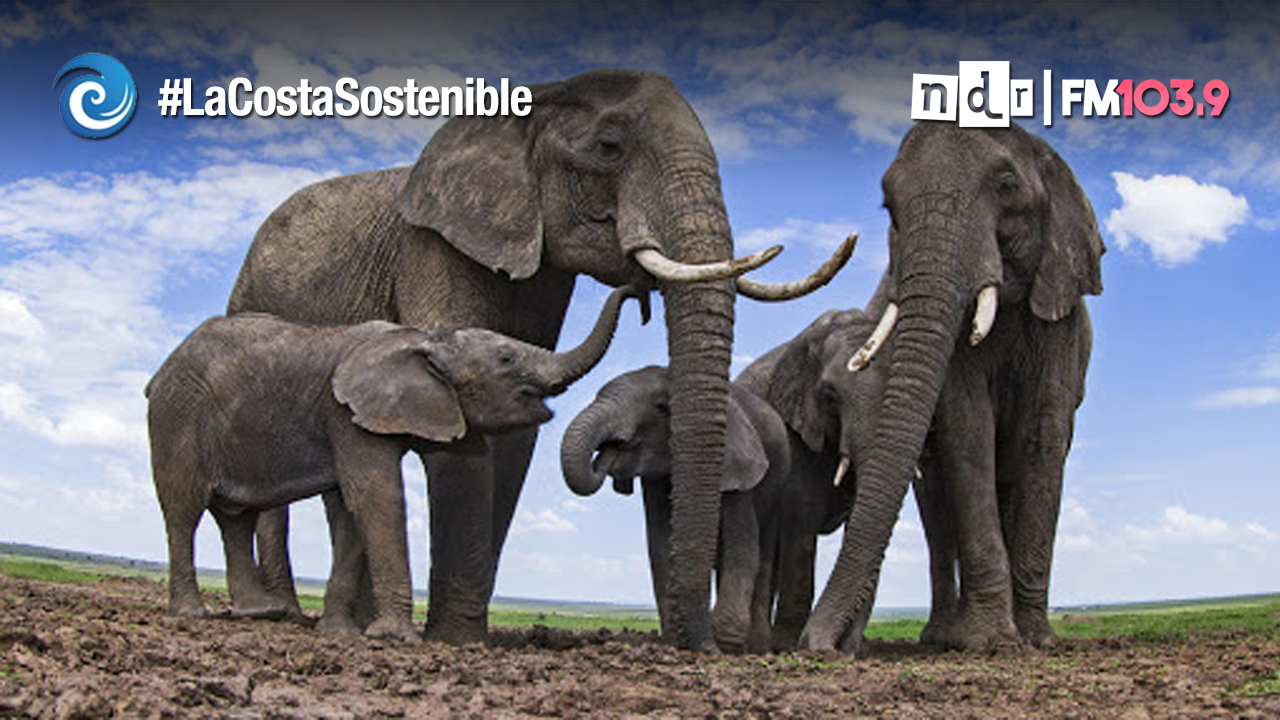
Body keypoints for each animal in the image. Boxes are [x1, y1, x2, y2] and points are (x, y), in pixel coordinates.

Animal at [147, 287, 637, 643]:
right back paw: (192, 612)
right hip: (177, 414)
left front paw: (341, 635)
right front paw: (396, 638)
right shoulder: (344, 414)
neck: (423, 338)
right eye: (506, 358)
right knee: (183, 509)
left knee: (236, 516)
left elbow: (350, 511)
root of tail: (161, 371)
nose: (638, 295)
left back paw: (257, 613)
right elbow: (378, 497)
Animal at [559, 366, 790, 653]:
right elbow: (659, 544)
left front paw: (724, 644)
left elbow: (743, 546)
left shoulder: (736, 464)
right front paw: (675, 641)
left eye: (661, 408)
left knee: (764, 551)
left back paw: (756, 648)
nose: (608, 451)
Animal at [800, 121, 1103, 653]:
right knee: (937, 511)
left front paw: (1037, 640)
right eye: (889, 207)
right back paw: (941, 636)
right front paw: (990, 642)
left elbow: (1043, 436)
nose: (816, 647)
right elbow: (968, 428)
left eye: (1006, 185)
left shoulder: (1061, 319)